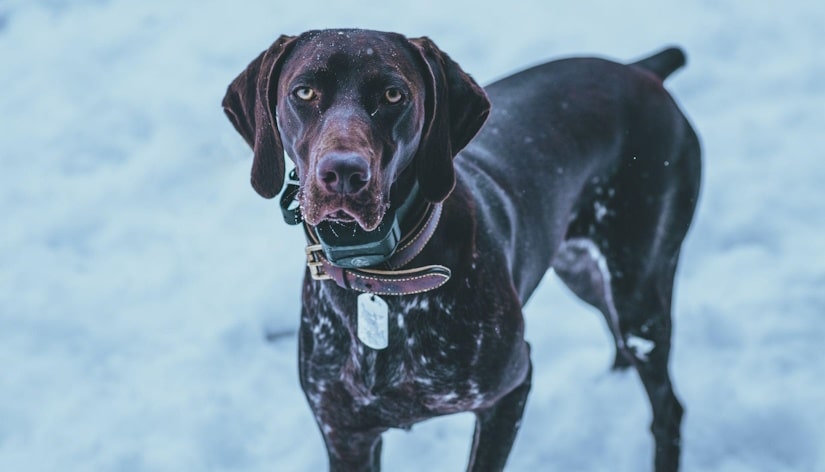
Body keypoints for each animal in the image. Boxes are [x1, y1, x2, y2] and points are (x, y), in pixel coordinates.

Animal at [222, 28, 700, 472]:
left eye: (393, 94)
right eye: (304, 92)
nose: (342, 173)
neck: (382, 276)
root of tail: (640, 70)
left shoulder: (509, 391)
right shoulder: (346, 435)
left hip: (639, 289)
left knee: (667, 406)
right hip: (580, 269)